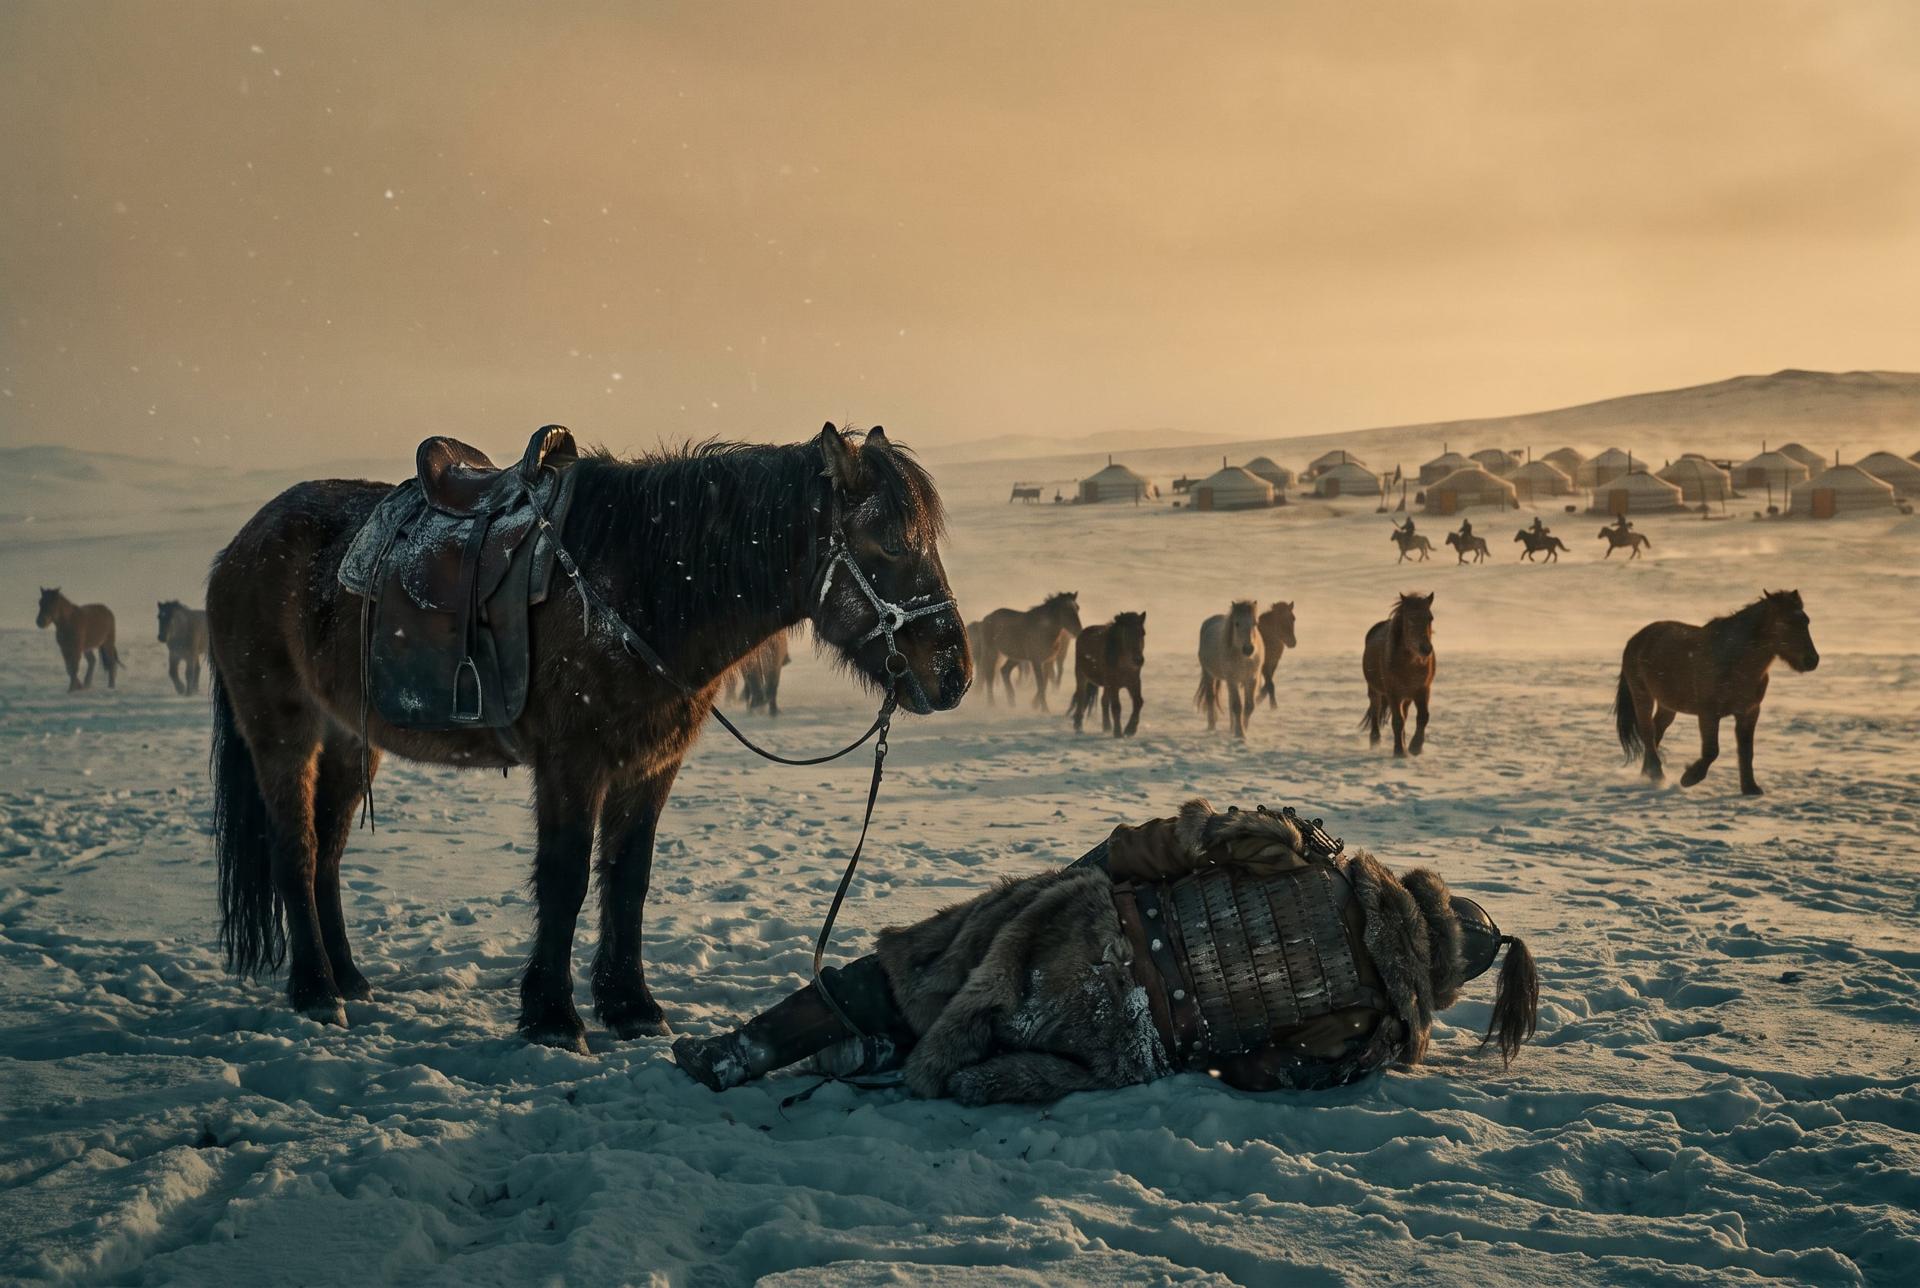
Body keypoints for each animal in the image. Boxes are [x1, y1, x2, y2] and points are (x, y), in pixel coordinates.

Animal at [206, 424, 971, 1050]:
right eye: (890, 543)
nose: (955, 674)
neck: (639, 587)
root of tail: (241, 545)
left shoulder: (650, 766)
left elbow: (628, 878)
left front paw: (631, 1006)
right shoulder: (571, 765)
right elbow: (566, 878)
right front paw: (551, 1016)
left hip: (349, 739)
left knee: (329, 854)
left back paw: (349, 979)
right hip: (284, 732)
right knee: (297, 851)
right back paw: (315, 991)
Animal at [1195, 600, 1263, 739]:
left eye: (1255, 623)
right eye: (1236, 623)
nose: (1248, 649)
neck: (1243, 658)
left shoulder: (1251, 679)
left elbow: (1248, 706)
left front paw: (1243, 729)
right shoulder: (1232, 679)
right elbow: (1237, 706)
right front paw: (1240, 733)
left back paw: (1231, 728)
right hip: (1208, 674)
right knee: (1211, 698)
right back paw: (1211, 727)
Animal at [1361, 592, 1435, 757]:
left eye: (1430, 618)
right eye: (1410, 618)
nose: (1426, 649)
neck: (1410, 664)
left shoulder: (1422, 690)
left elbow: (1423, 717)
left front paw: (1415, 747)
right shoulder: (1393, 693)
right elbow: (1397, 721)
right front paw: (1399, 752)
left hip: (1406, 697)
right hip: (1374, 690)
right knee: (1375, 711)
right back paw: (1375, 743)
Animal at [1613, 589, 1818, 795]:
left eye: (1806, 621)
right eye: (1786, 622)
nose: (1812, 660)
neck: (1735, 661)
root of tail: (1635, 639)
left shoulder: (1749, 712)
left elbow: (1746, 751)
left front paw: (1750, 788)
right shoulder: (1708, 713)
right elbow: (1712, 750)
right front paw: (1689, 778)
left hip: (1667, 705)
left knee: (1656, 731)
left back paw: (1648, 774)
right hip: (1642, 696)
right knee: (1647, 732)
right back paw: (1657, 774)